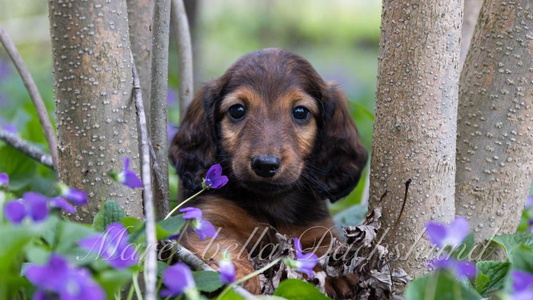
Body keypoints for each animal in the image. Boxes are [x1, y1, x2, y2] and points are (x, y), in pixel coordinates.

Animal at [169, 49, 366, 298]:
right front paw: (240, 276)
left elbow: (324, 248)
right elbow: (224, 246)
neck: (270, 204)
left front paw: (337, 274)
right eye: (237, 110)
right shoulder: (209, 220)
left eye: (300, 112)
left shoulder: (316, 229)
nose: (265, 165)